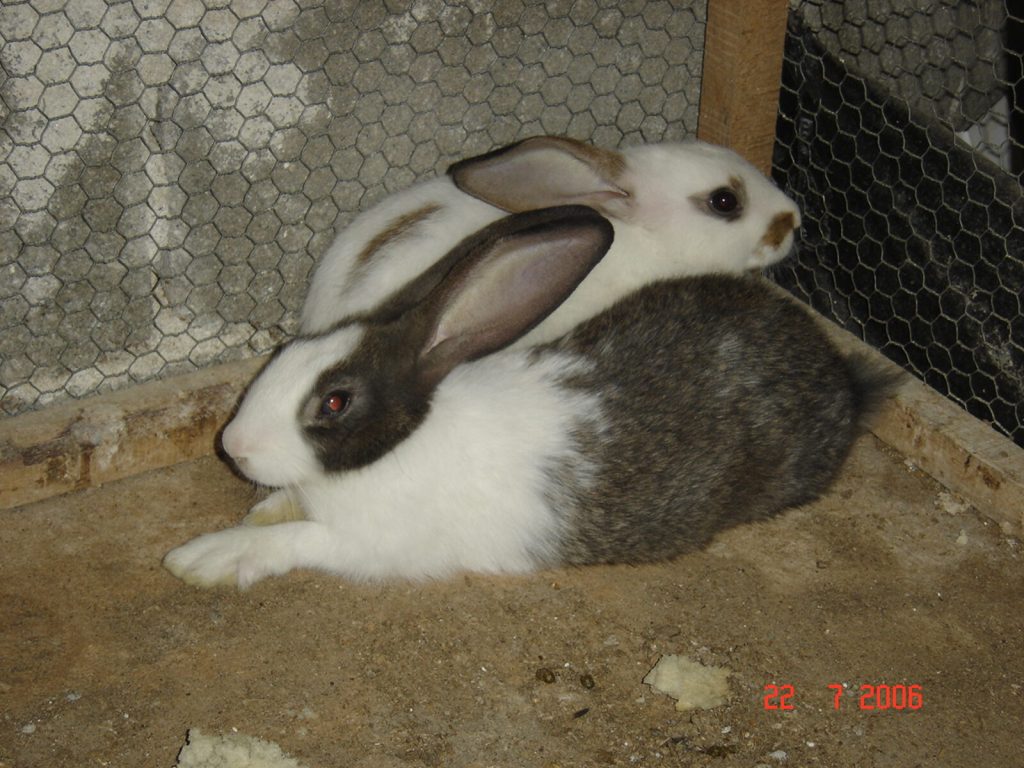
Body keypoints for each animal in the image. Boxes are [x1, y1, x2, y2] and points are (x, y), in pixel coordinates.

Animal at [164, 206, 881, 589]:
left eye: (335, 403)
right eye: (286, 353)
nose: (233, 445)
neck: (399, 446)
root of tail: (842, 377)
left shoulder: (373, 546)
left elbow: (298, 541)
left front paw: (207, 556)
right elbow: (282, 512)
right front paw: (257, 514)